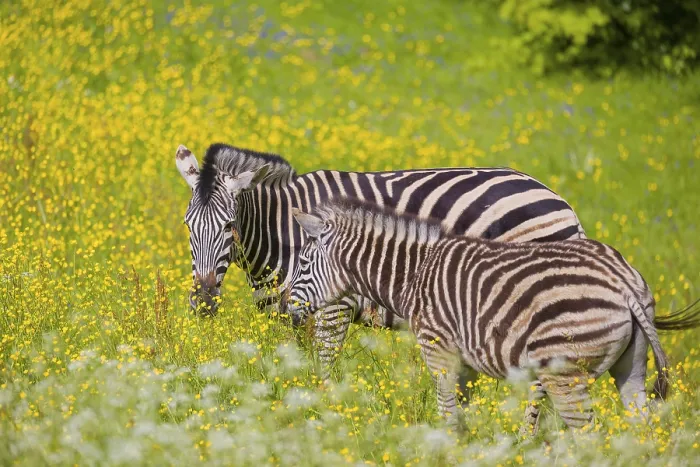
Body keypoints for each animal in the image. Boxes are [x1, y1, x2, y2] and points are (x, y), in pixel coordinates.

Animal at [176, 142, 587, 370]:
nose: (204, 302)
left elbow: (324, 368)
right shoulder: (292, 312)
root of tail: (556, 197)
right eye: (187, 225)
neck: (283, 230)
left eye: (229, 226)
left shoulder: (333, 307)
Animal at [283, 198, 700, 432]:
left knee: (588, 435)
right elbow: (460, 411)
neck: (414, 273)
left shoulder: (437, 348)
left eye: (302, 263)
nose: (287, 309)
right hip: (632, 367)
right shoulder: (464, 360)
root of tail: (623, 283)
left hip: (565, 375)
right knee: (639, 429)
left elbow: (447, 412)